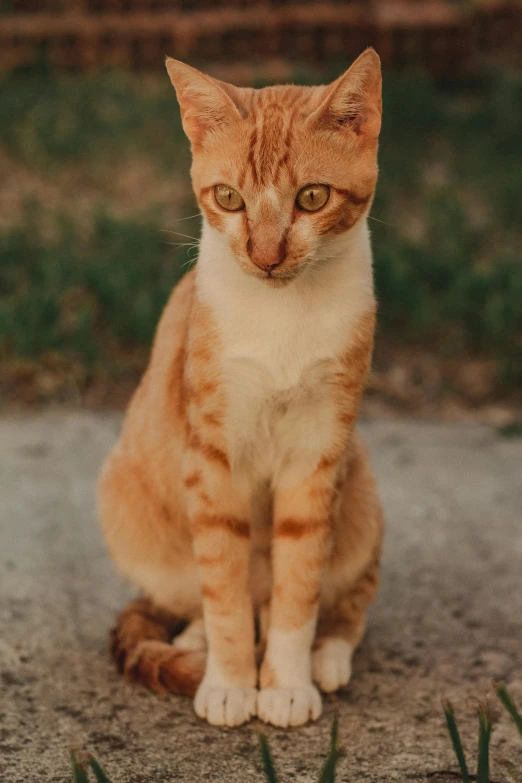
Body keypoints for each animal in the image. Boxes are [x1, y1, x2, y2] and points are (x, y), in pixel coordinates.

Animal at [97, 49, 382, 728]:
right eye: (227, 197)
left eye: (312, 197)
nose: (266, 254)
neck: (282, 316)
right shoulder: (211, 458)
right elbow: (223, 586)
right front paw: (229, 680)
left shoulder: (318, 454)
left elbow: (298, 587)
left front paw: (285, 682)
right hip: (128, 505)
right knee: (205, 593)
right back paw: (196, 641)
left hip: (361, 495)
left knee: (346, 599)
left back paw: (328, 655)